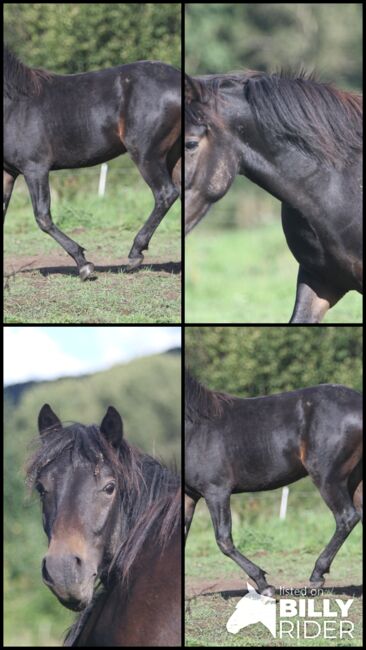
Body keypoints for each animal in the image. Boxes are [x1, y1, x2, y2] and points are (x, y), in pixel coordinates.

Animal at [2, 46, 180, 276]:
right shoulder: (8, 172)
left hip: (147, 155)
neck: (13, 105)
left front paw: (84, 264)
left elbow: (43, 217)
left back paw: (135, 253)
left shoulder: (34, 168)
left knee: (166, 194)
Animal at [184, 368, 362, 596]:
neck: (196, 427)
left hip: (329, 478)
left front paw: (264, 584)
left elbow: (224, 540)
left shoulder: (216, 491)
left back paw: (316, 576)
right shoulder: (189, 495)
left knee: (346, 518)